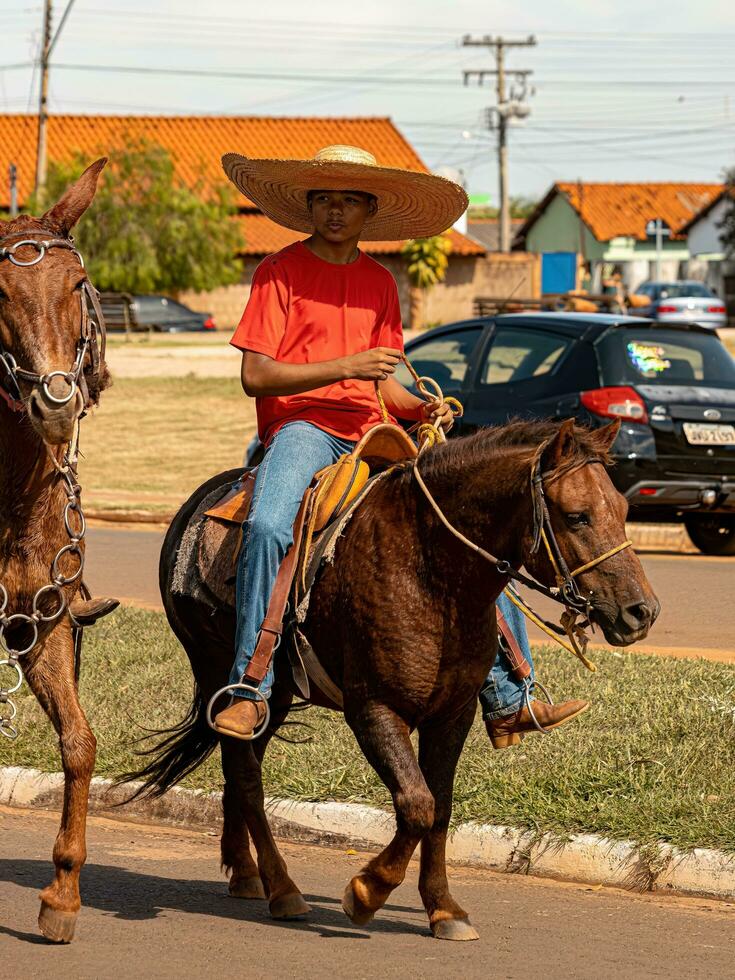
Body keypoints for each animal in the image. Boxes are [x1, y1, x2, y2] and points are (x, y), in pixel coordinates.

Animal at [129, 416, 660, 940]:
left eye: (623, 508)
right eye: (577, 515)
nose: (642, 611)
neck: (430, 572)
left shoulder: (453, 715)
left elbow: (440, 808)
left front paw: (443, 908)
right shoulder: (374, 710)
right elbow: (416, 803)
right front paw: (367, 891)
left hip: (272, 700)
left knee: (239, 767)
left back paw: (244, 872)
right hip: (221, 669)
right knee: (246, 776)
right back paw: (282, 889)